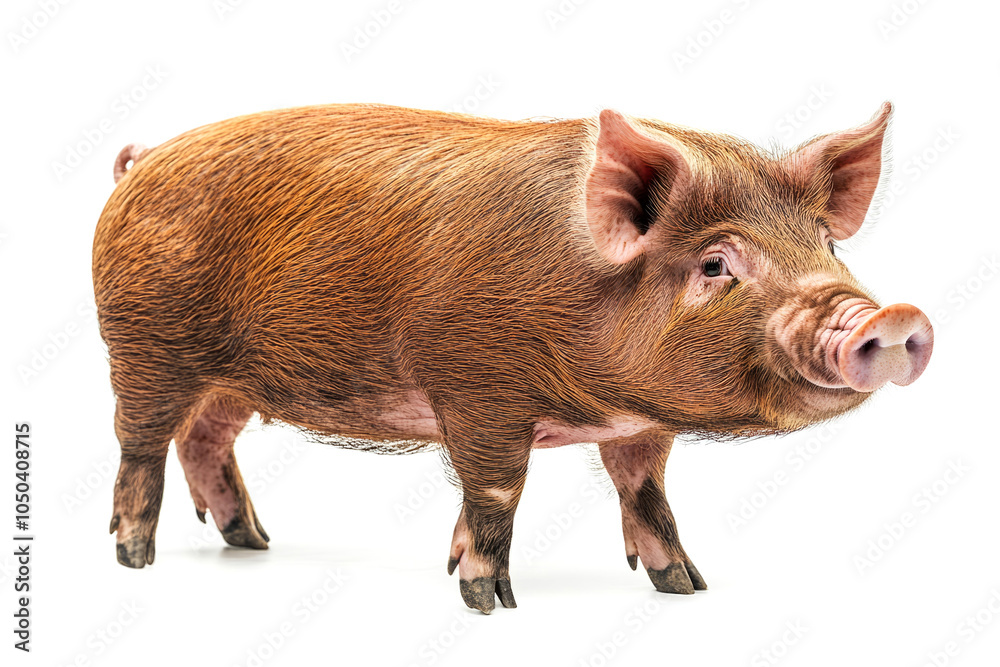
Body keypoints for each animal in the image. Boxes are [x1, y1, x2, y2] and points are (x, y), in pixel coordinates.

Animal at [94, 101, 933, 613]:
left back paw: (252, 541)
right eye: (716, 263)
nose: (891, 318)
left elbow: (647, 492)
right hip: (141, 343)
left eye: (826, 246)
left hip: (231, 379)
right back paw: (136, 557)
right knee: (140, 442)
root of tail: (142, 161)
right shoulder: (477, 388)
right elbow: (497, 491)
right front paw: (486, 599)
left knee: (205, 438)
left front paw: (686, 587)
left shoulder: (638, 424)